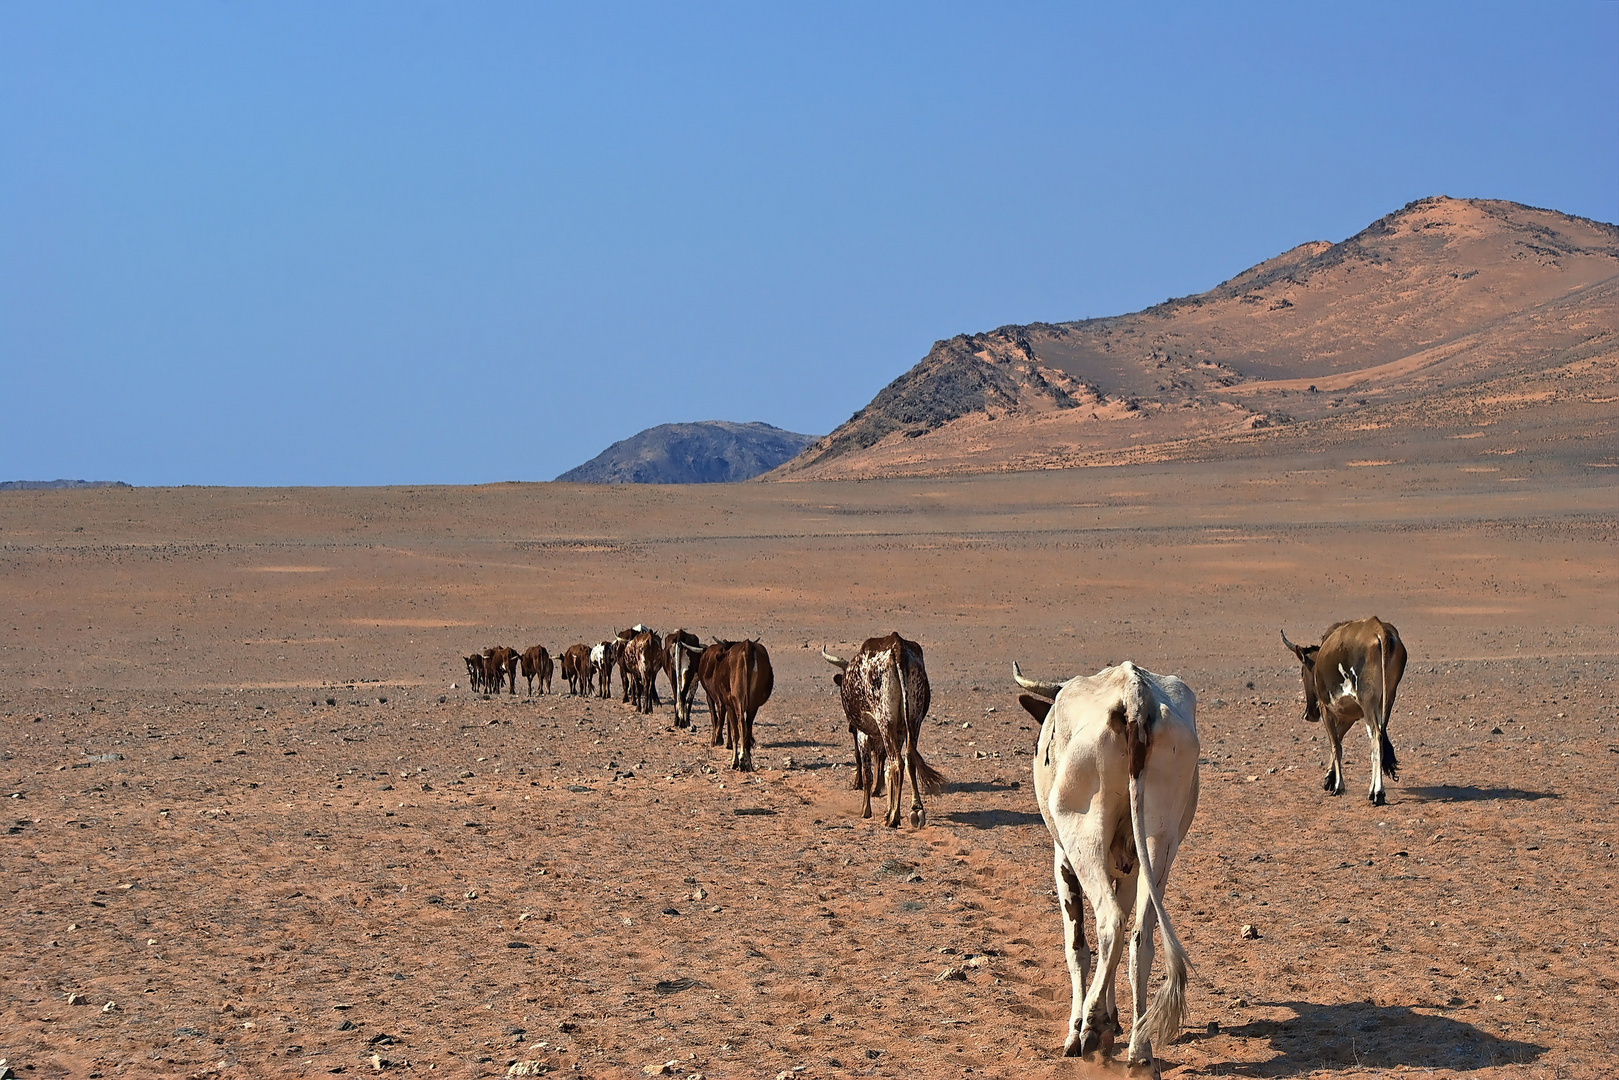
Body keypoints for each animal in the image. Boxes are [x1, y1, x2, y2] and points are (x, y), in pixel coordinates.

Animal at [822, 634, 945, 829]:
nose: (850, 727)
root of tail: (897, 646)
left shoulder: (863, 734)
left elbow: (868, 772)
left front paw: (866, 810)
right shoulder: (899, 731)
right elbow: (885, 770)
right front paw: (889, 809)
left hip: (884, 720)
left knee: (896, 762)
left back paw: (893, 818)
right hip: (914, 720)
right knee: (907, 759)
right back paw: (915, 809)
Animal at [1010, 654, 1204, 1068]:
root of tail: (1134, 696)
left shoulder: (1062, 859)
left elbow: (1078, 948)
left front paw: (1079, 1026)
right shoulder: (1129, 869)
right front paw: (1115, 1019)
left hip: (1081, 835)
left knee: (1109, 922)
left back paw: (1091, 1026)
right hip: (1160, 845)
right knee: (1140, 939)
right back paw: (1139, 1047)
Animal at [1275, 615, 1405, 803]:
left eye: (1302, 672)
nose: (1309, 714)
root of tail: (1379, 628)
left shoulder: (1326, 709)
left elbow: (1335, 744)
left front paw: (1338, 785)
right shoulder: (1351, 715)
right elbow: (1338, 740)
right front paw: (1330, 777)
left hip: (1367, 701)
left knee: (1376, 736)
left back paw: (1378, 793)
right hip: (1386, 699)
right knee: (1379, 737)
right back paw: (1372, 790)